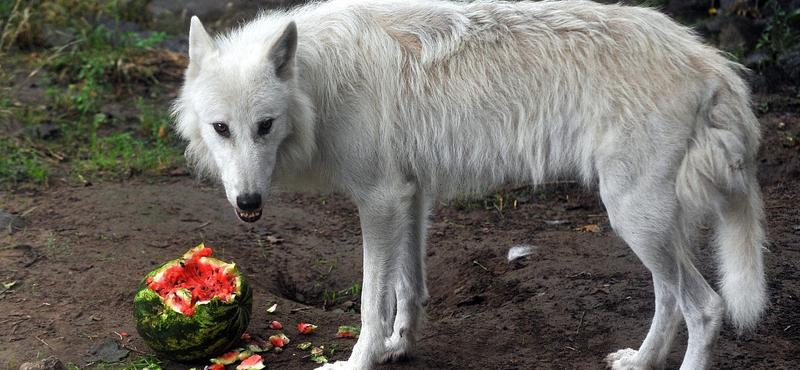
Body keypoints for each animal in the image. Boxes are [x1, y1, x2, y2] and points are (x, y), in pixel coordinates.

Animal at [172, 0, 764, 368]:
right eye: (221, 129)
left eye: (264, 126)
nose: (248, 202)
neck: (320, 82)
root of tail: (712, 63)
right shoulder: (411, 196)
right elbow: (409, 289)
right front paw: (399, 348)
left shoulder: (380, 201)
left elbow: (369, 302)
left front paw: (359, 361)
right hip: (645, 225)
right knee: (669, 300)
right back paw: (640, 362)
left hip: (633, 216)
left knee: (705, 308)